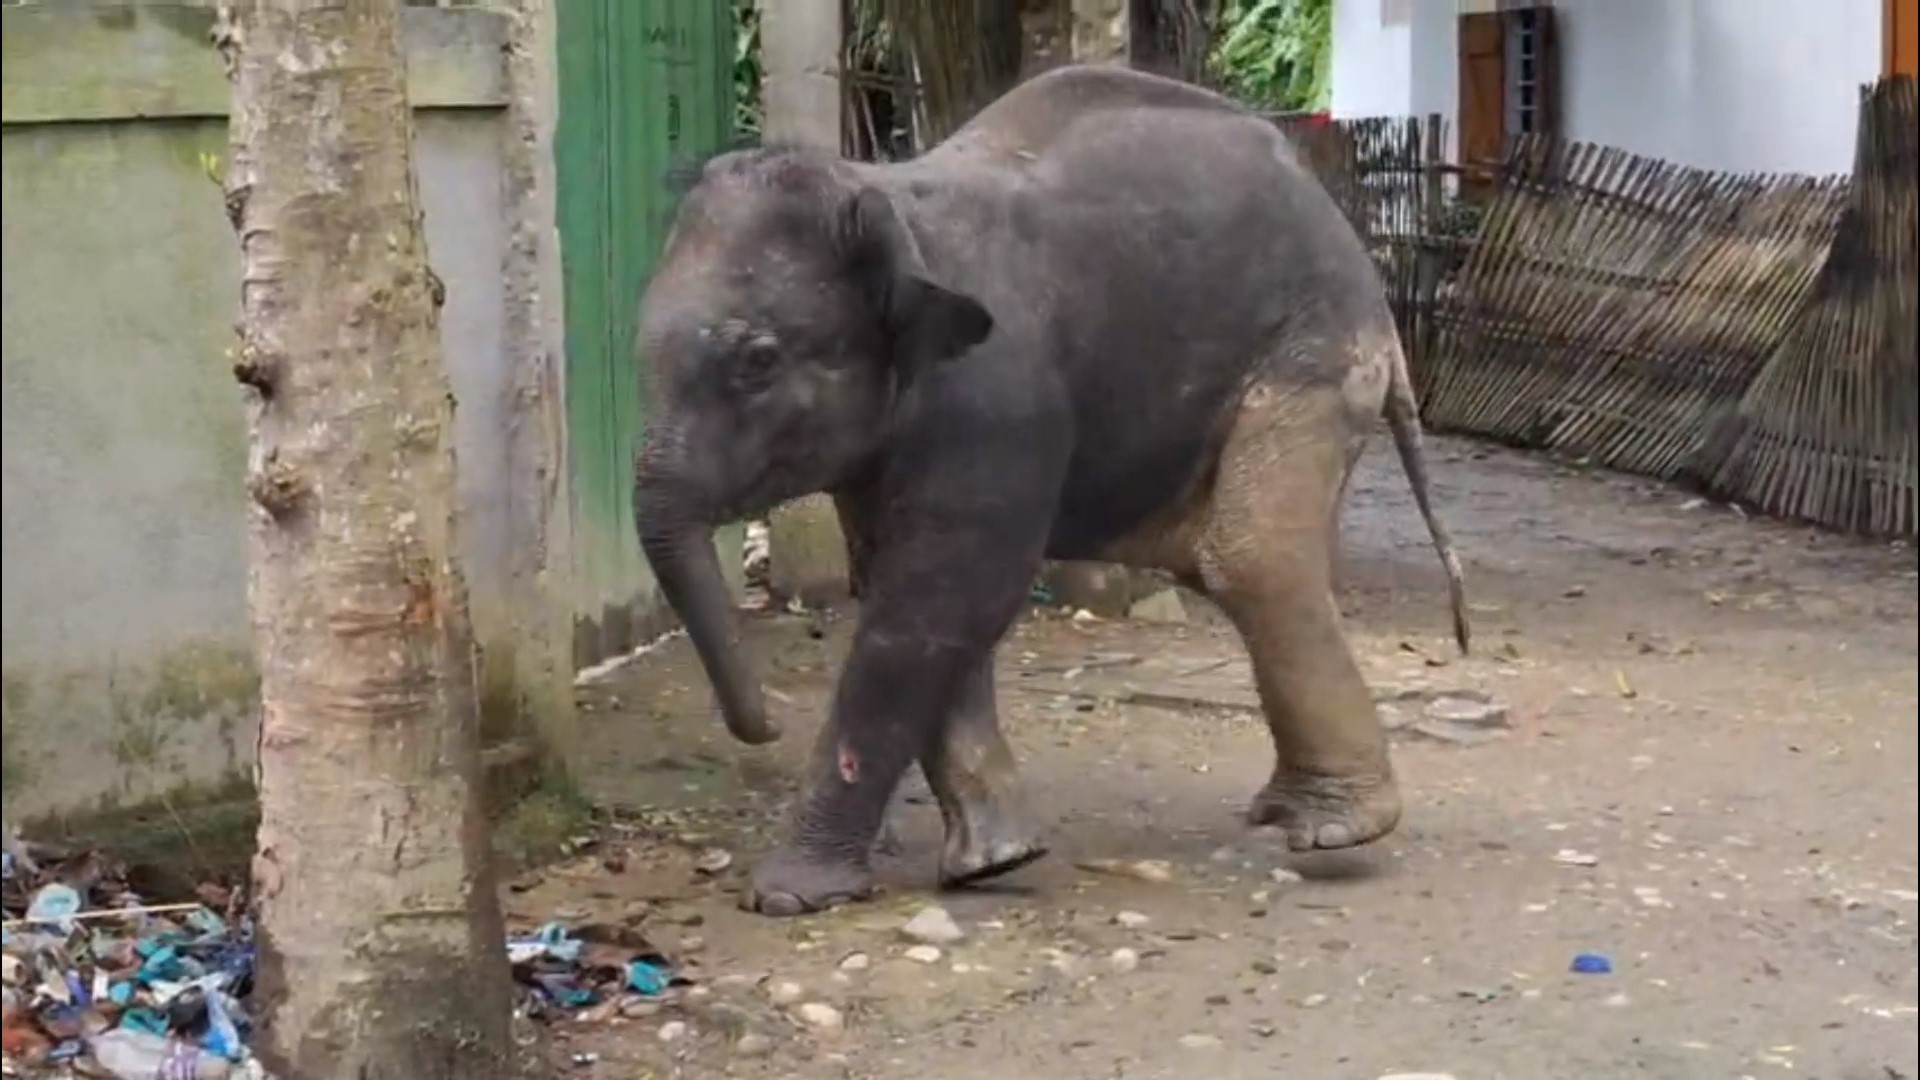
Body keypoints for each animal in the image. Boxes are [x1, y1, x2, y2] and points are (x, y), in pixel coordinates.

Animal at [632, 64, 1469, 917]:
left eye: (759, 361)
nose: (764, 727)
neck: (885, 196)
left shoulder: (999, 401)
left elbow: (941, 597)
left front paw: (789, 894)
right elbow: (922, 595)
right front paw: (994, 863)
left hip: (1317, 357)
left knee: (1251, 560)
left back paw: (1335, 830)